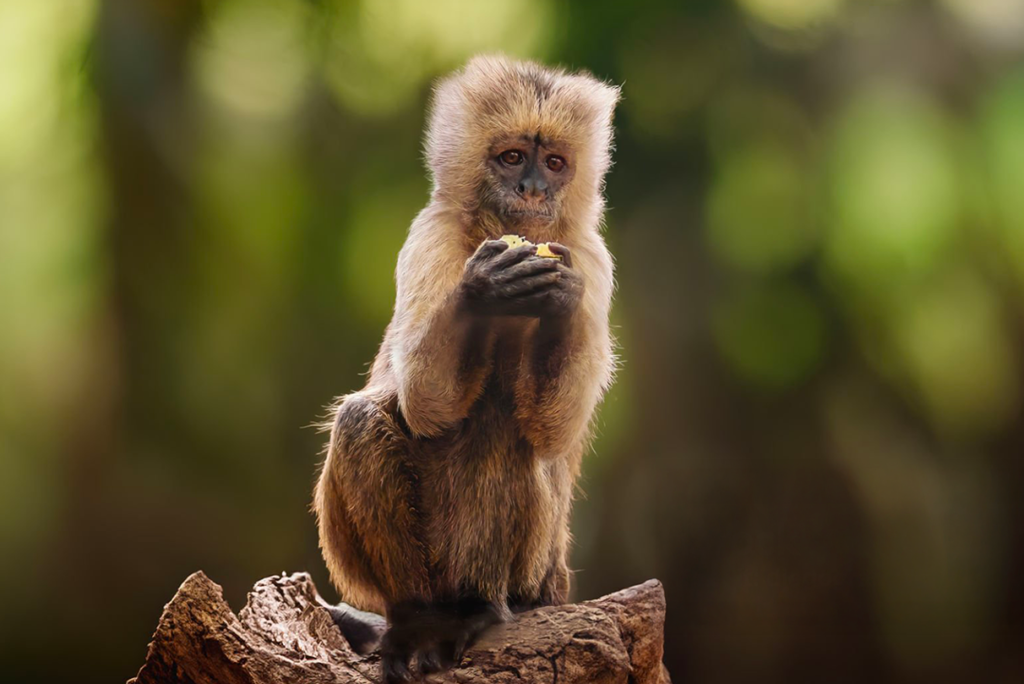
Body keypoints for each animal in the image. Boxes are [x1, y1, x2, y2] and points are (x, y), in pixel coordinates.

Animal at [313, 55, 619, 683]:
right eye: (513, 158)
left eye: (554, 163)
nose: (533, 188)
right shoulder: (429, 233)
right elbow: (426, 403)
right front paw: (484, 290)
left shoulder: (591, 258)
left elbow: (552, 432)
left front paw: (557, 299)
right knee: (364, 421)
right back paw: (418, 620)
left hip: (536, 569)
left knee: (504, 424)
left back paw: (477, 607)